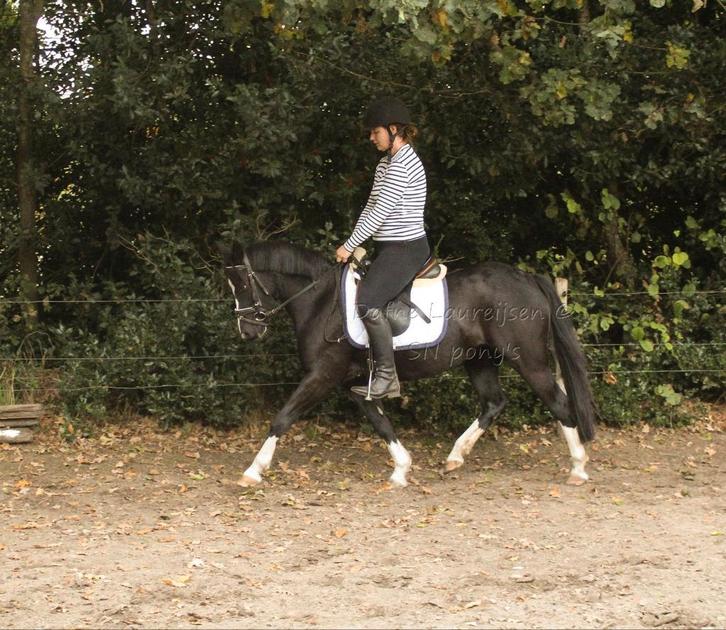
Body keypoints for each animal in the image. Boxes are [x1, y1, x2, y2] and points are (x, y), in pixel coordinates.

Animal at [221, 240, 597, 488]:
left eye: (243, 283)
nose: (247, 331)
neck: (322, 301)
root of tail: (527, 278)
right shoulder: (355, 383)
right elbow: (380, 423)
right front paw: (401, 469)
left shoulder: (323, 375)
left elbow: (283, 417)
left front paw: (253, 470)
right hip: (479, 360)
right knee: (494, 402)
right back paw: (455, 457)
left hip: (528, 359)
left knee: (559, 403)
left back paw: (578, 468)